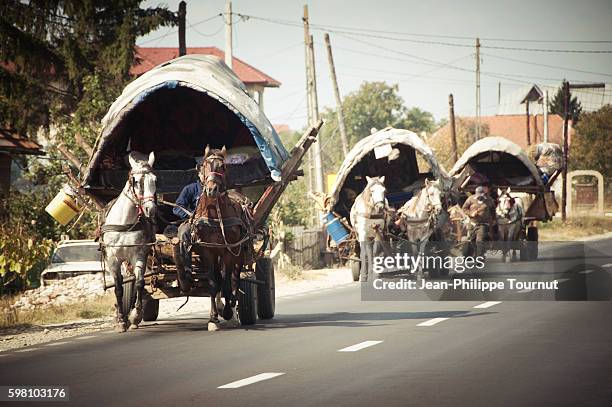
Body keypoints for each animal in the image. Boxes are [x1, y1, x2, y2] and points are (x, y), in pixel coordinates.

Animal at [101, 151, 157, 334]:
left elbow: (139, 282)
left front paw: (136, 316)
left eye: (155, 180)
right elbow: (118, 287)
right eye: (136, 181)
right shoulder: (113, 259)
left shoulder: (139, 254)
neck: (124, 223)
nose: (151, 210)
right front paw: (121, 320)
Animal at [191, 147, 249, 332]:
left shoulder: (229, 250)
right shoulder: (207, 251)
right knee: (220, 276)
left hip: (239, 252)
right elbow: (213, 282)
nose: (212, 189)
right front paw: (213, 318)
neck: (215, 215)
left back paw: (232, 307)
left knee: (235, 278)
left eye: (223, 166)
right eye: (205, 165)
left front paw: (229, 312)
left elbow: (227, 283)